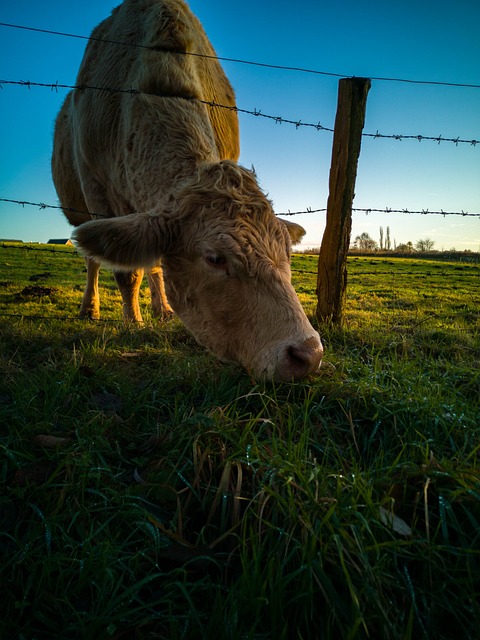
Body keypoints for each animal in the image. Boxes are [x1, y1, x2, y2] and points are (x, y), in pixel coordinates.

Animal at [51, 0, 322, 380]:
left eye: (287, 251)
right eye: (214, 258)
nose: (308, 353)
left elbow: (152, 265)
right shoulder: (97, 193)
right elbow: (126, 272)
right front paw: (132, 323)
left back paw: (162, 309)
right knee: (94, 261)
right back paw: (91, 309)